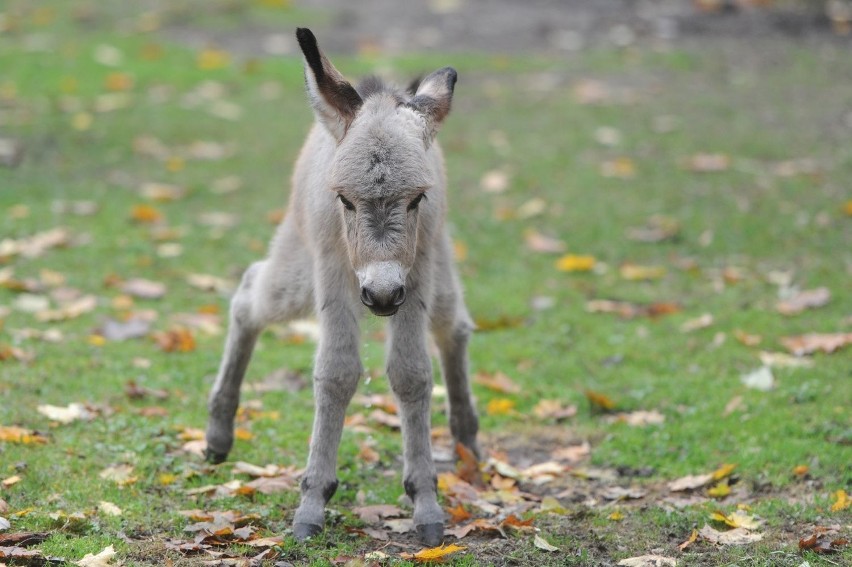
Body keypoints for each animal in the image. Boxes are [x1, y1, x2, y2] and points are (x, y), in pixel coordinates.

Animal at [205, 28, 480, 548]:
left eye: (417, 199)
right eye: (344, 202)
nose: (382, 296)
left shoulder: (417, 273)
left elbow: (412, 374)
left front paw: (426, 503)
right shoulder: (332, 270)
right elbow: (336, 373)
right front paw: (312, 502)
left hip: (438, 268)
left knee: (453, 326)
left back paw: (468, 443)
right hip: (297, 275)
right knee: (250, 295)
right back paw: (218, 433)